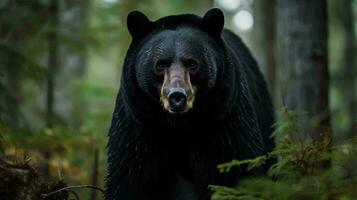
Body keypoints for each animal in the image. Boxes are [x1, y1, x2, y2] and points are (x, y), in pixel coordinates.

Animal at [105, 8, 272, 200]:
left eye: (192, 63)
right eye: (160, 64)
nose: (177, 96)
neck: (181, 126)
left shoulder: (224, 122)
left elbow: (234, 171)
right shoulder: (140, 123)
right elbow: (131, 175)